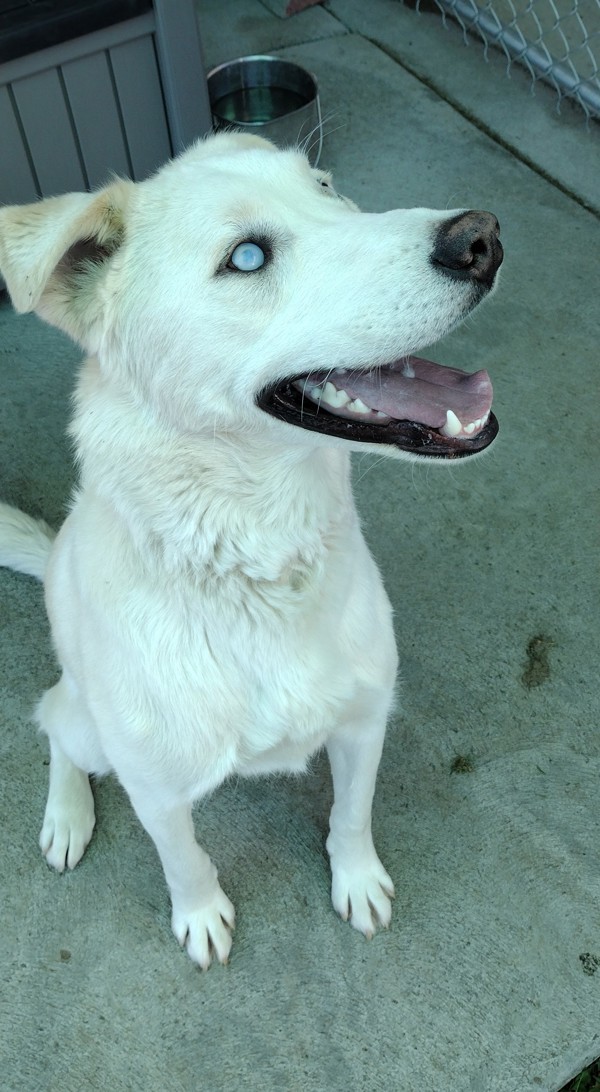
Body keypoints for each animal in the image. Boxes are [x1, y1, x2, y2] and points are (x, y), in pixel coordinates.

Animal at [0, 134, 500, 965]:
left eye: (327, 188)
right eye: (246, 257)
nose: (482, 238)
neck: (260, 567)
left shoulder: (365, 722)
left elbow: (352, 816)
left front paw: (356, 880)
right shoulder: (156, 790)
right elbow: (185, 861)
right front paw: (201, 915)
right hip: (90, 728)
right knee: (54, 726)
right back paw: (67, 816)